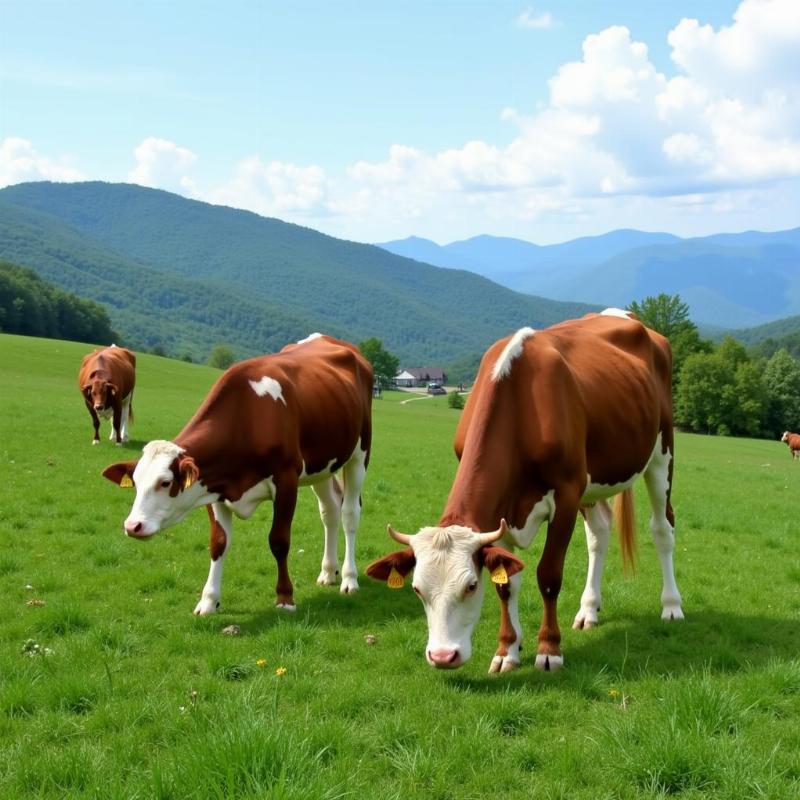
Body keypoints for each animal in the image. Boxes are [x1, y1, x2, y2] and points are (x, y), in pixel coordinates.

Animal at [101, 334, 374, 616]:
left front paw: (285, 597)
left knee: (349, 513)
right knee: (329, 511)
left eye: (165, 482)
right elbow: (218, 543)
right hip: (321, 466)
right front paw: (208, 601)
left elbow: (279, 541)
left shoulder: (286, 480)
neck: (248, 417)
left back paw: (349, 578)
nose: (132, 526)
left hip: (359, 454)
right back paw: (328, 572)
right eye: (135, 483)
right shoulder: (215, 487)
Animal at [368, 310, 680, 672]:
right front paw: (507, 651)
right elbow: (506, 584)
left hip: (661, 453)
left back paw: (672, 605)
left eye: (471, 586)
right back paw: (588, 610)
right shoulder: (502, 511)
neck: (520, 406)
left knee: (662, 528)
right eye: (417, 589)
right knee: (599, 534)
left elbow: (549, 574)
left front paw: (549, 649)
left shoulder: (567, 493)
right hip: (593, 481)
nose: (443, 656)